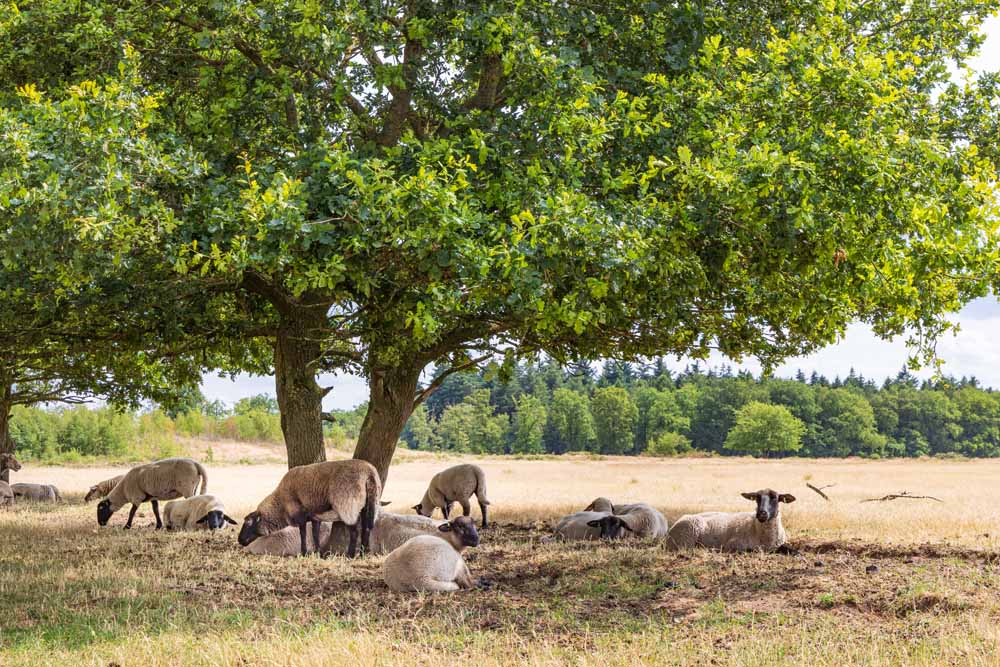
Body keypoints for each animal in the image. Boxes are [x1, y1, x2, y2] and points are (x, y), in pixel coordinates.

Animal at [238, 460, 382, 560]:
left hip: (348, 506)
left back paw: (351, 555)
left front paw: (304, 553)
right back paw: (363, 554)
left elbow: (303, 533)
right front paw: (318, 553)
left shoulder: (299, 514)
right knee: (367, 528)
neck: (280, 504)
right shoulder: (315, 517)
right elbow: (315, 534)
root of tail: (369, 473)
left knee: (355, 532)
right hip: (369, 504)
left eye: (248, 523)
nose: (239, 540)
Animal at [664, 490, 796, 552]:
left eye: (775, 498)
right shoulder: (733, 545)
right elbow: (753, 549)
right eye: (757, 498)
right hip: (685, 540)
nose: (761, 513)